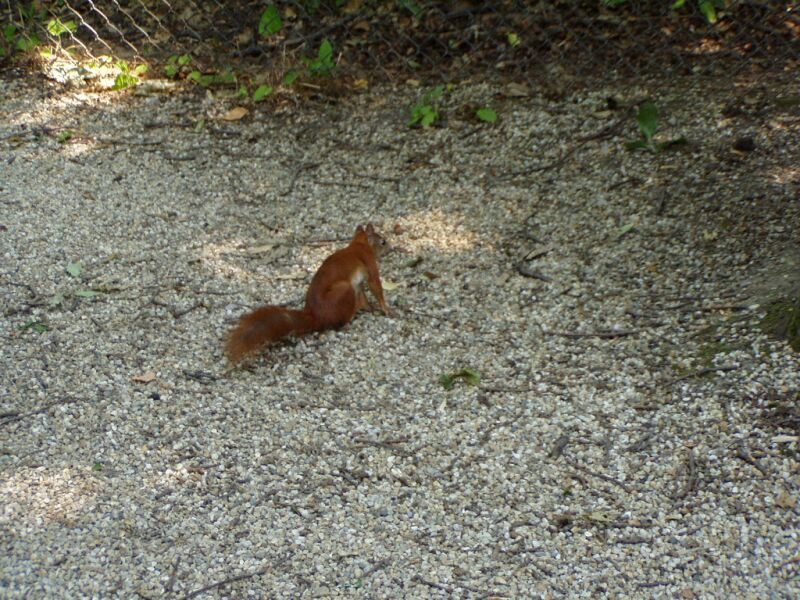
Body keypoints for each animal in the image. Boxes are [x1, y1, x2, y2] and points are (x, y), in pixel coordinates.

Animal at [225, 224, 390, 360]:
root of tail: (316, 316)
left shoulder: (359, 283)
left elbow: (363, 295)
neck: (359, 245)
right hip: (345, 290)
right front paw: (386, 309)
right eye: (383, 242)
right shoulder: (369, 263)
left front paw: (370, 307)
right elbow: (376, 286)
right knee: (340, 321)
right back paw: (351, 315)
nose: (391, 248)